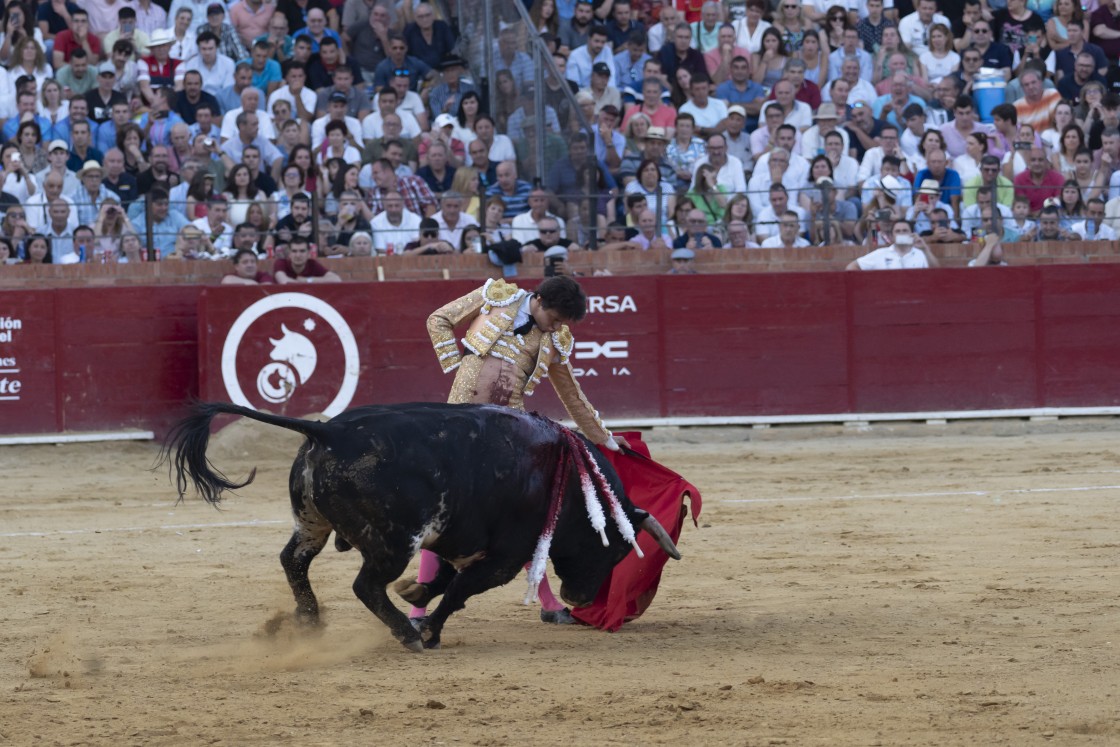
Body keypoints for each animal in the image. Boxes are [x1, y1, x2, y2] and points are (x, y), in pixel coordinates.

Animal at [161, 400, 676, 649]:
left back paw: (308, 620)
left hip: (311, 522)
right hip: (392, 541)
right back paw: (406, 636)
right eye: (614, 548)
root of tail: (328, 430)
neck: (564, 479)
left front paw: (416, 596)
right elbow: (459, 591)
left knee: (294, 560)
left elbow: (444, 580)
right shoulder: (505, 557)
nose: (580, 599)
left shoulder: (462, 539)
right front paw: (428, 630)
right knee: (365, 585)